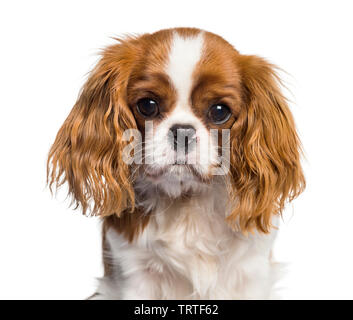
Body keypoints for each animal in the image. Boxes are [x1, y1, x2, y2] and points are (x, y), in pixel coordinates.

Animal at [47, 27, 306, 300]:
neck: (186, 200)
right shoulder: (133, 275)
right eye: (147, 105)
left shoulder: (250, 273)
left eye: (219, 111)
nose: (182, 131)